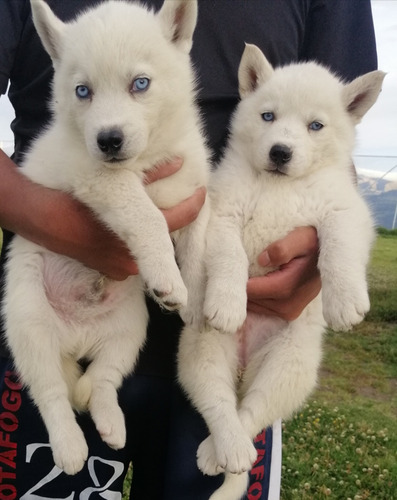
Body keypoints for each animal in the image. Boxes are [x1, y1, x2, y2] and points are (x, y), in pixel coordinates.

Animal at [2, 0, 210, 474]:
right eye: (83, 91)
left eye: (140, 84)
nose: (108, 140)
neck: (148, 157)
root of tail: (75, 338)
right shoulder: (100, 178)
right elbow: (147, 216)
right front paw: (168, 277)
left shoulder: (193, 191)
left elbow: (201, 244)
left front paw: (198, 295)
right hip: (28, 324)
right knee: (51, 393)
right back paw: (69, 445)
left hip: (130, 330)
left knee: (103, 380)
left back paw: (110, 420)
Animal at [179, 44, 384, 500]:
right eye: (268, 116)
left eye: (315, 126)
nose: (280, 152)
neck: (278, 186)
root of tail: (244, 362)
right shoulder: (223, 212)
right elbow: (230, 258)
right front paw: (228, 302)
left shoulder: (345, 210)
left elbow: (339, 247)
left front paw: (346, 301)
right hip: (202, 350)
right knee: (219, 403)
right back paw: (226, 450)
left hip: (289, 366)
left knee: (252, 410)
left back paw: (221, 452)